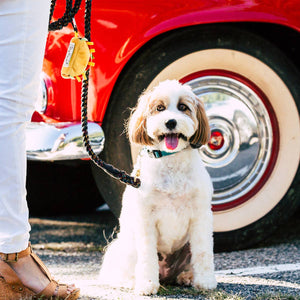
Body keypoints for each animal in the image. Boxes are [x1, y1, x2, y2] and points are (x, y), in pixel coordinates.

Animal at [99, 79, 217, 296]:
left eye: (183, 107)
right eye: (159, 108)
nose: (170, 122)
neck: (171, 159)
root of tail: (167, 275)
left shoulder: (201, 215)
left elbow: (204, 251)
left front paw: (205, 281)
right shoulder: (145, 218)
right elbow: (147, 255)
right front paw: (146, 284)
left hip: (185, 248)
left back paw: (186, 276)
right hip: (128, 245)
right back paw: (131, 281)